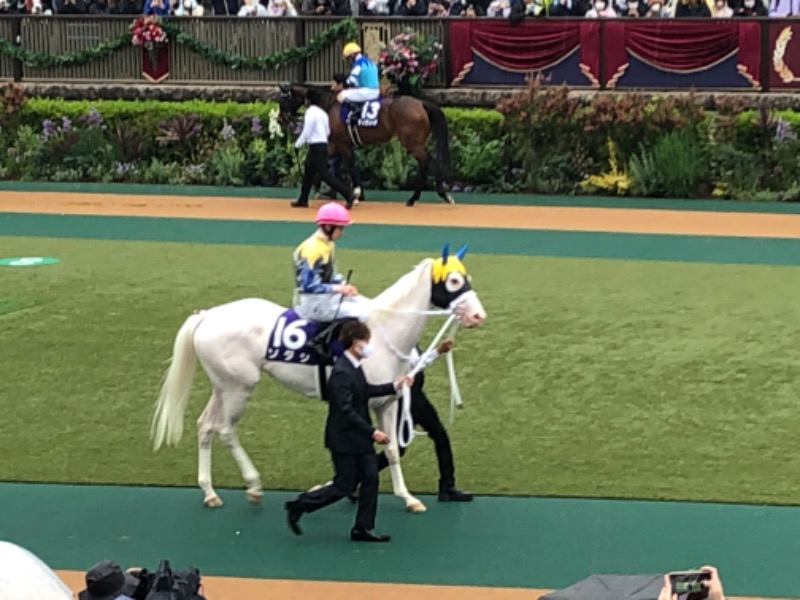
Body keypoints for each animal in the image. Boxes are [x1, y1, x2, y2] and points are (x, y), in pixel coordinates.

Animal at [150, 243, 488, 510]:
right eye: (454, 280)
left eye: (468, 278)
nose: (478, 315)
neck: (385, 334)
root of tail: (206, 315)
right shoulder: (365, 402)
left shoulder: (388, 402)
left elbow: (392, 449)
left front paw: (408, 498)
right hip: (238, 387)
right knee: (224, 429)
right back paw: (254, 485)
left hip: (222, 385)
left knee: (205, 425)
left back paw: (209, 492)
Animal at [276, 83, 454, 207]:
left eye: (283, 100)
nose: (280, 119)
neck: (330, 105)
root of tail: (421, 104)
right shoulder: (336, 145)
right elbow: (324, 164)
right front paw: (355, 194)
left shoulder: (341, 144)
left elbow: (350, 166)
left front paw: (355, 194)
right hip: (415, 144)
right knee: (425, 164)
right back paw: (415, 198)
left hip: (413, 143)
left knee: (428, 163)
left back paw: (438, 195)